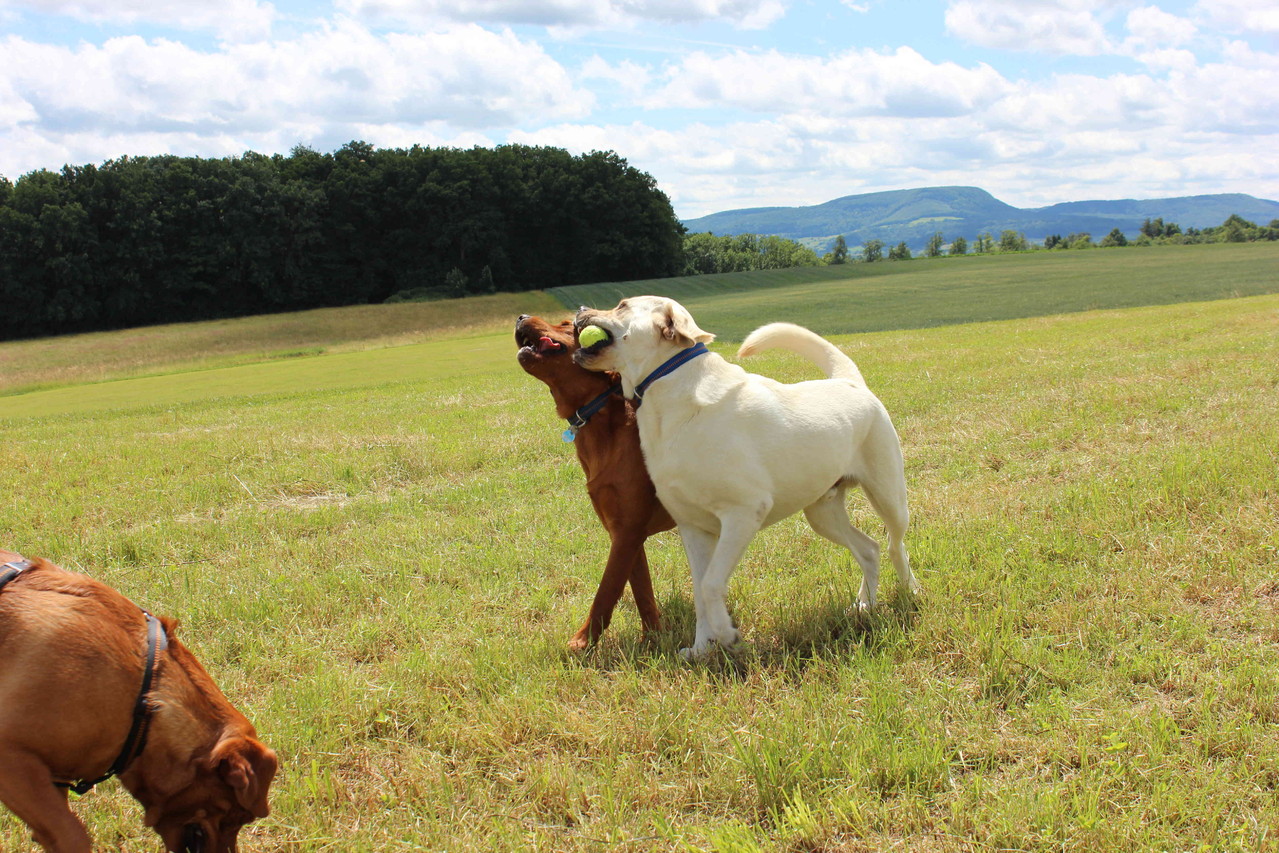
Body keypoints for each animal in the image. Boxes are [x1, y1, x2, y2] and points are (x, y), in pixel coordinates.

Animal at [514, 317, 675, 649]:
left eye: (565, 324)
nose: (520, 317)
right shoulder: (624, 531)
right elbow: (642, 592)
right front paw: (654, 639)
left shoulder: (627, 531)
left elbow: (606, 592)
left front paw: (582, 642)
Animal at [572, 299, 920, 659]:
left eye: (622, 305)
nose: (580, 309)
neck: (668, 392)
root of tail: (851, 383)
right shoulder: (692, 527)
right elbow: (699, 592)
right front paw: (701, 649)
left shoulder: (742, 513)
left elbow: (711, 584)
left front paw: (727, 635)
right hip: (822, 514)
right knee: (869, 549)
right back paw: (865, 605)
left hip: (888, 496)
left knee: (895, 545)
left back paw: (909, 592)